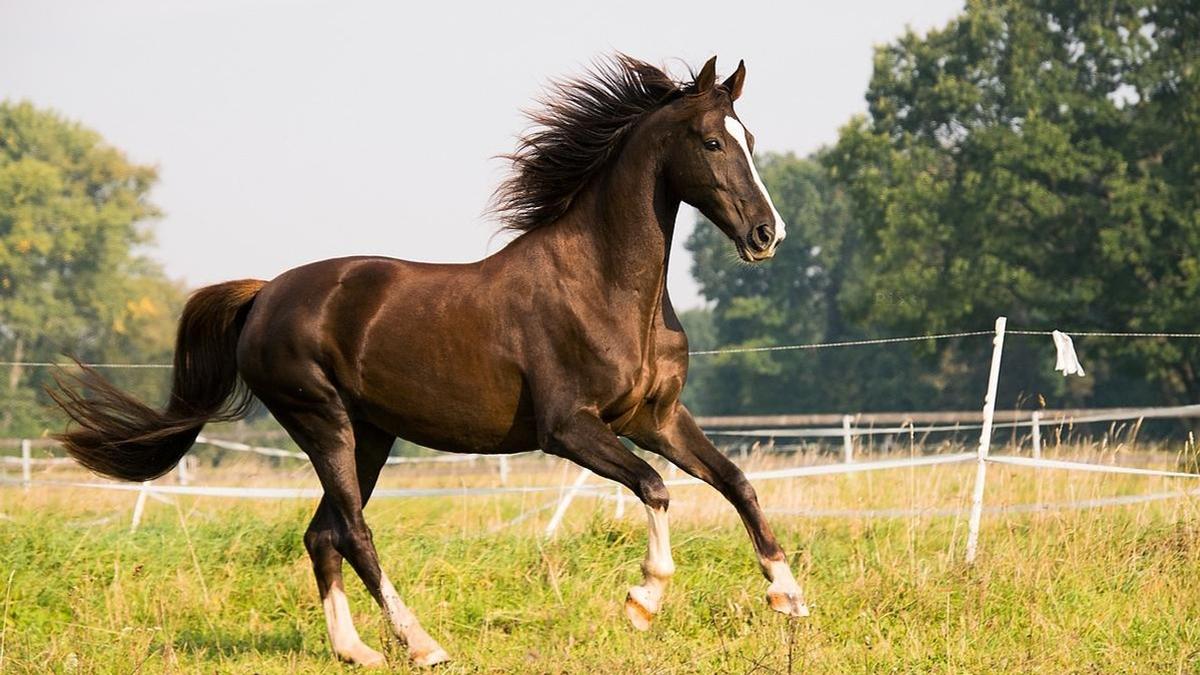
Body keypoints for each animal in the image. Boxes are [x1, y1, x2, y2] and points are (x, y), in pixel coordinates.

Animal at [51, 55, 811, 662]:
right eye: (711, 141)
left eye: (749, 139)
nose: (766, 234)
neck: (604, 286)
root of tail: (264, 294)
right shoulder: (569, 428)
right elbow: (655, 487)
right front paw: (643, 601)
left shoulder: (654, 417)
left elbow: (737, 481)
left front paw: (790, 596)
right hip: (322, 421)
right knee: (353, 532)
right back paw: (421, 643)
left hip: (370, 435)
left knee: (321, 534)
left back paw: (356, 650)